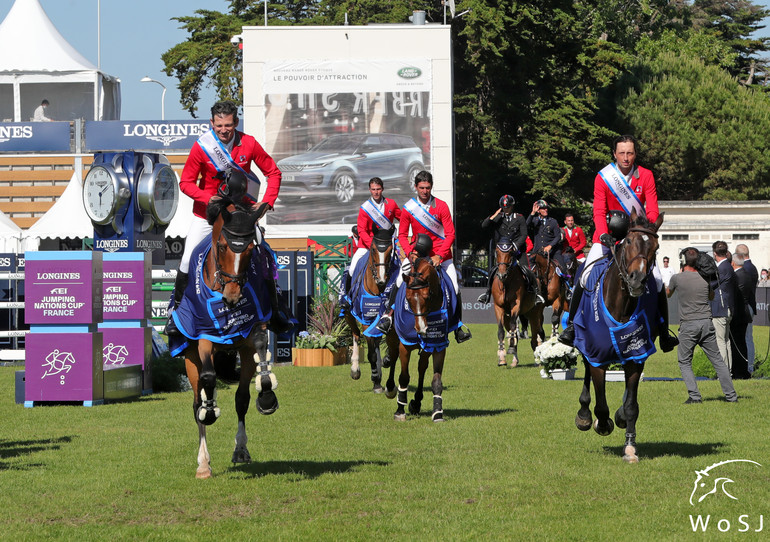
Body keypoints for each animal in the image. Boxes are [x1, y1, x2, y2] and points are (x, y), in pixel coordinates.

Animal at [170, 200, 278, 480]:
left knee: (240, 398)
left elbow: (260, 356)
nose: (232, 296)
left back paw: (239, 448)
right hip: (190, 358)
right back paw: (203, 463)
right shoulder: (204, 336)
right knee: (196, 401)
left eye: (251, 250)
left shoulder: (254, 330)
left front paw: (267, 396)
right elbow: (209, 379)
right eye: (221, 246)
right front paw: (209, 412)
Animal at [344, 227, 400, 394]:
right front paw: (375, 381)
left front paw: (386, 361)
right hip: (349, 314)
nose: (382, 279)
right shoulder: (366, 319)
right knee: (356, 334)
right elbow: (371, 355)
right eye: (374, 249)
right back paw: (356, 369)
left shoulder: (388, 319)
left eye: (390, 249)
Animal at [380, 258, 448, 422]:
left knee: (421, 367)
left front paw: (437, 413)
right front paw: (400, 410)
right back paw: (390, 389)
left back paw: (416, 403)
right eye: (408, 298)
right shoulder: (405, 345)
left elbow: (436, 380)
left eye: (428, 297)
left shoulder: (437, 345)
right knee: (393, 357)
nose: (421, 328)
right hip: (392, 338)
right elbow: (404, 377)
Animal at [492, 240, 540, 368]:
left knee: (535, 337)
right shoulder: (498, 308)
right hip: (508, 316)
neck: (506, 283)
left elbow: (514, 326)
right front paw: (501, 357)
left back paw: (538, 360)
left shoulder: (516, 306)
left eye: (510, 252)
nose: (502, 275)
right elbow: (501, 331)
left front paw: (510, 349)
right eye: (497, 252)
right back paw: (514, 360)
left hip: (534, 314)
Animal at [572, 210, 664, 466]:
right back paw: (584, 414)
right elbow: (601, 404)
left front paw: (630, 447)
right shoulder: (597, 354)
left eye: (656, 246)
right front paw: (601, 423)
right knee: (585, 369)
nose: (637, 279)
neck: (622, 304)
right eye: (630, 241)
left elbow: (632, 405)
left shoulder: (636, 355)